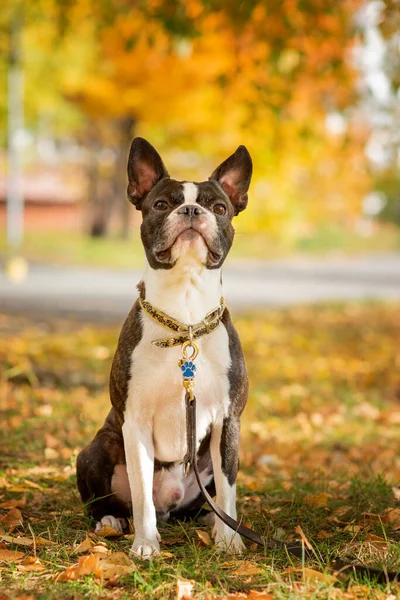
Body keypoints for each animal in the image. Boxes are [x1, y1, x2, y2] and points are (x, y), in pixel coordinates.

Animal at [76, 138, 252, 560]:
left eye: (219, 208)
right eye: (159, 204)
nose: (190, 210)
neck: (184, 321)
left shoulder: (228, 421)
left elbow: (228, 490)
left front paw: (230, 540)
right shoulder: (135, 423)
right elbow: (141, 496)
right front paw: (145, 544)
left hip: (202, 469)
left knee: (207, 501)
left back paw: (208, 523)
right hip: (98, 447)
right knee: (109, 502)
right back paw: (110, 521)